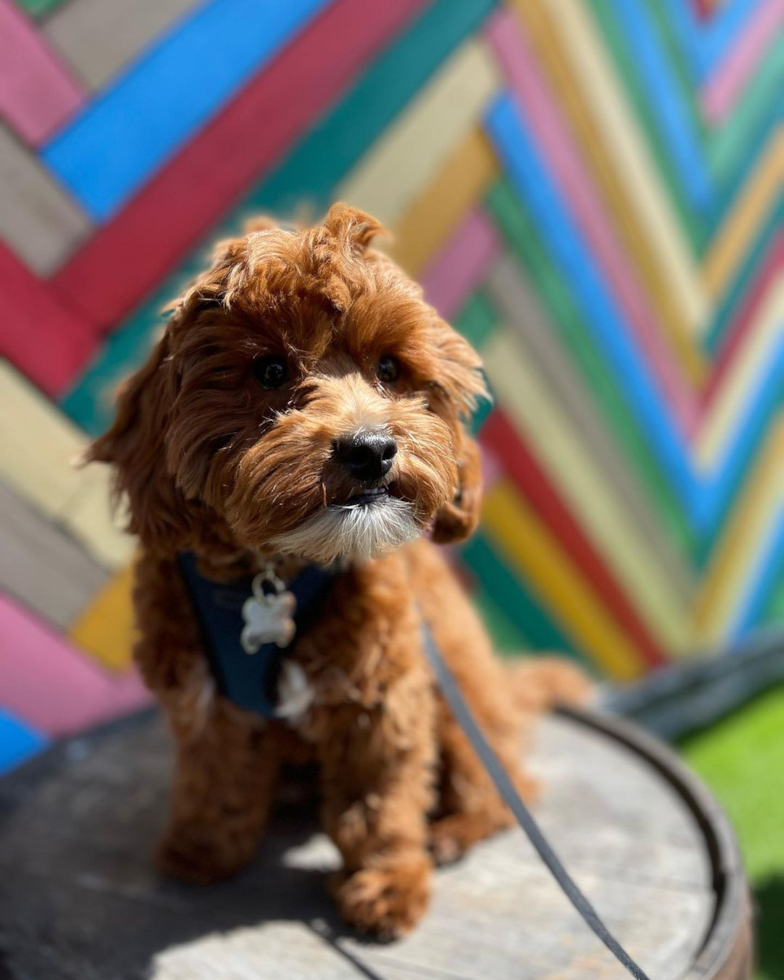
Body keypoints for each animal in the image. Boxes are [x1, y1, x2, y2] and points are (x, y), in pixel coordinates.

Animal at [89, 205, 584, 936]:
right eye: (269, 370)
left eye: (390, 368)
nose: (371, 448)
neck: (275, 571)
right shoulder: (203, 697)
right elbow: (214, 774)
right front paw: (204, 848)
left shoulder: (385, 694)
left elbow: (379, 800)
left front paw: (387, 884)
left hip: (461, 695)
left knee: (504, 787)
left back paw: (453, 831)